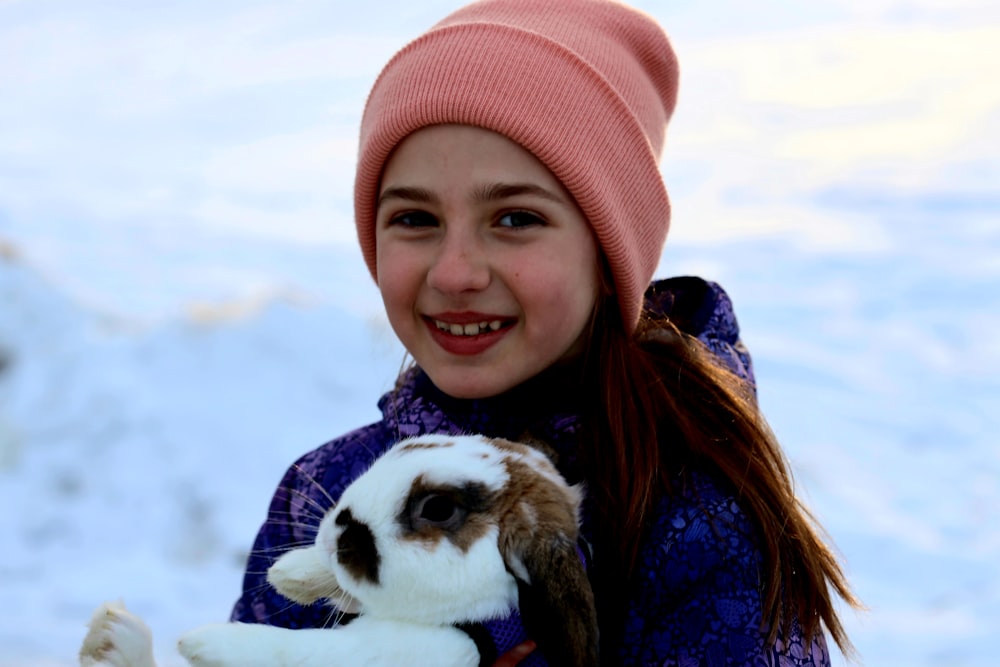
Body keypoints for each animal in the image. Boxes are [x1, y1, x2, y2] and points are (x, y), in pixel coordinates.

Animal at [80, 436, 592, 664]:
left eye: (438, 508)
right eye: (405, 447)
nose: (336, 528)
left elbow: (287, 648)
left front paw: (205, 641)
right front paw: (290, 574)